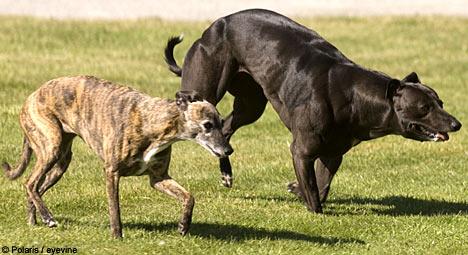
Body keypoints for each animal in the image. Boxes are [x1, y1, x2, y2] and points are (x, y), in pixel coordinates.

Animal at [1, 75, 232, 237]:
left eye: (221, 122)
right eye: (207, 125)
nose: (228, 151)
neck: (154, 122)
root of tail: (32, 96)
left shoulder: (158, 178)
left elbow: (188, 196)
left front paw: (184, 225)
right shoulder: (111, 172)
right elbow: (115, 209)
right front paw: (117, 236)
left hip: (60, 162)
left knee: (36, 189)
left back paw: (35, 220)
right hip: (51, 146)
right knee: (30, 183)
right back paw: (48, 217)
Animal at [164, 8, 460, 212]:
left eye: (440, 102)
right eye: (423, 107)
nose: (456, 124)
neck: (354, 95)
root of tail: (213, 27)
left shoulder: (332, 153)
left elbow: (322, 184)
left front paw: (296, 188)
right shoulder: (302, 150)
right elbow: (314, 195)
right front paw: (311, 207)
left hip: (251, 105)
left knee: (225, 128)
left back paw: (227, 173)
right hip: (207, 86)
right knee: (186, 99)